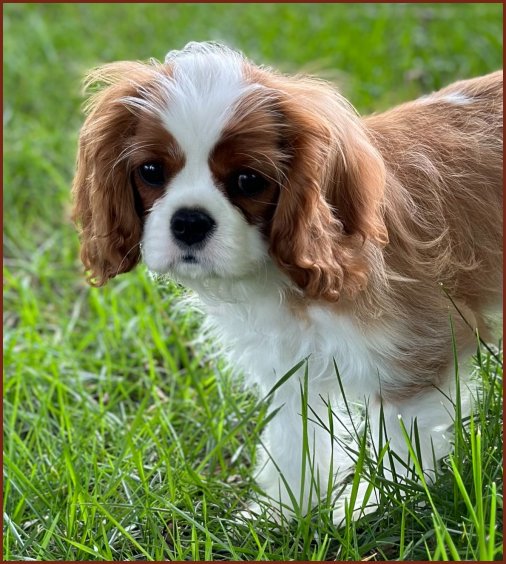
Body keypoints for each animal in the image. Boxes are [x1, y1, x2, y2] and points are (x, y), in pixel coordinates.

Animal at [71, 41, 502, 524]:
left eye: (247, 180)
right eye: (150, 172)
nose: (189, 221)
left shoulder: (421, 348)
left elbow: (399, 434)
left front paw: (376, 503)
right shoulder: (290, 365)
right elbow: (294, 436)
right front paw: (282, 509)